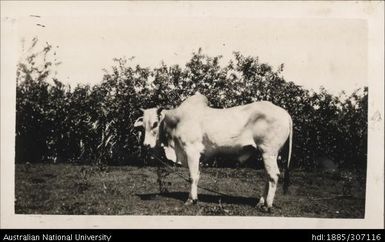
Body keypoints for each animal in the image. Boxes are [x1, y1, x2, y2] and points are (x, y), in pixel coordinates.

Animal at [134, 93, 292, 212]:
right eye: (142, 125)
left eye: (155, 123)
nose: (146, 145)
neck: (177, 121)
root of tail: (285, 113)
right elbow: (197, 176)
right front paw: (195, 198)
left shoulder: (191, 151)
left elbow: (192, 177)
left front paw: (190, 200)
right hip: (264, 153)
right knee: (267, 176)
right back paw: (260, 203)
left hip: (269, 151)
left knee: (273, 176)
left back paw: (267, 205)